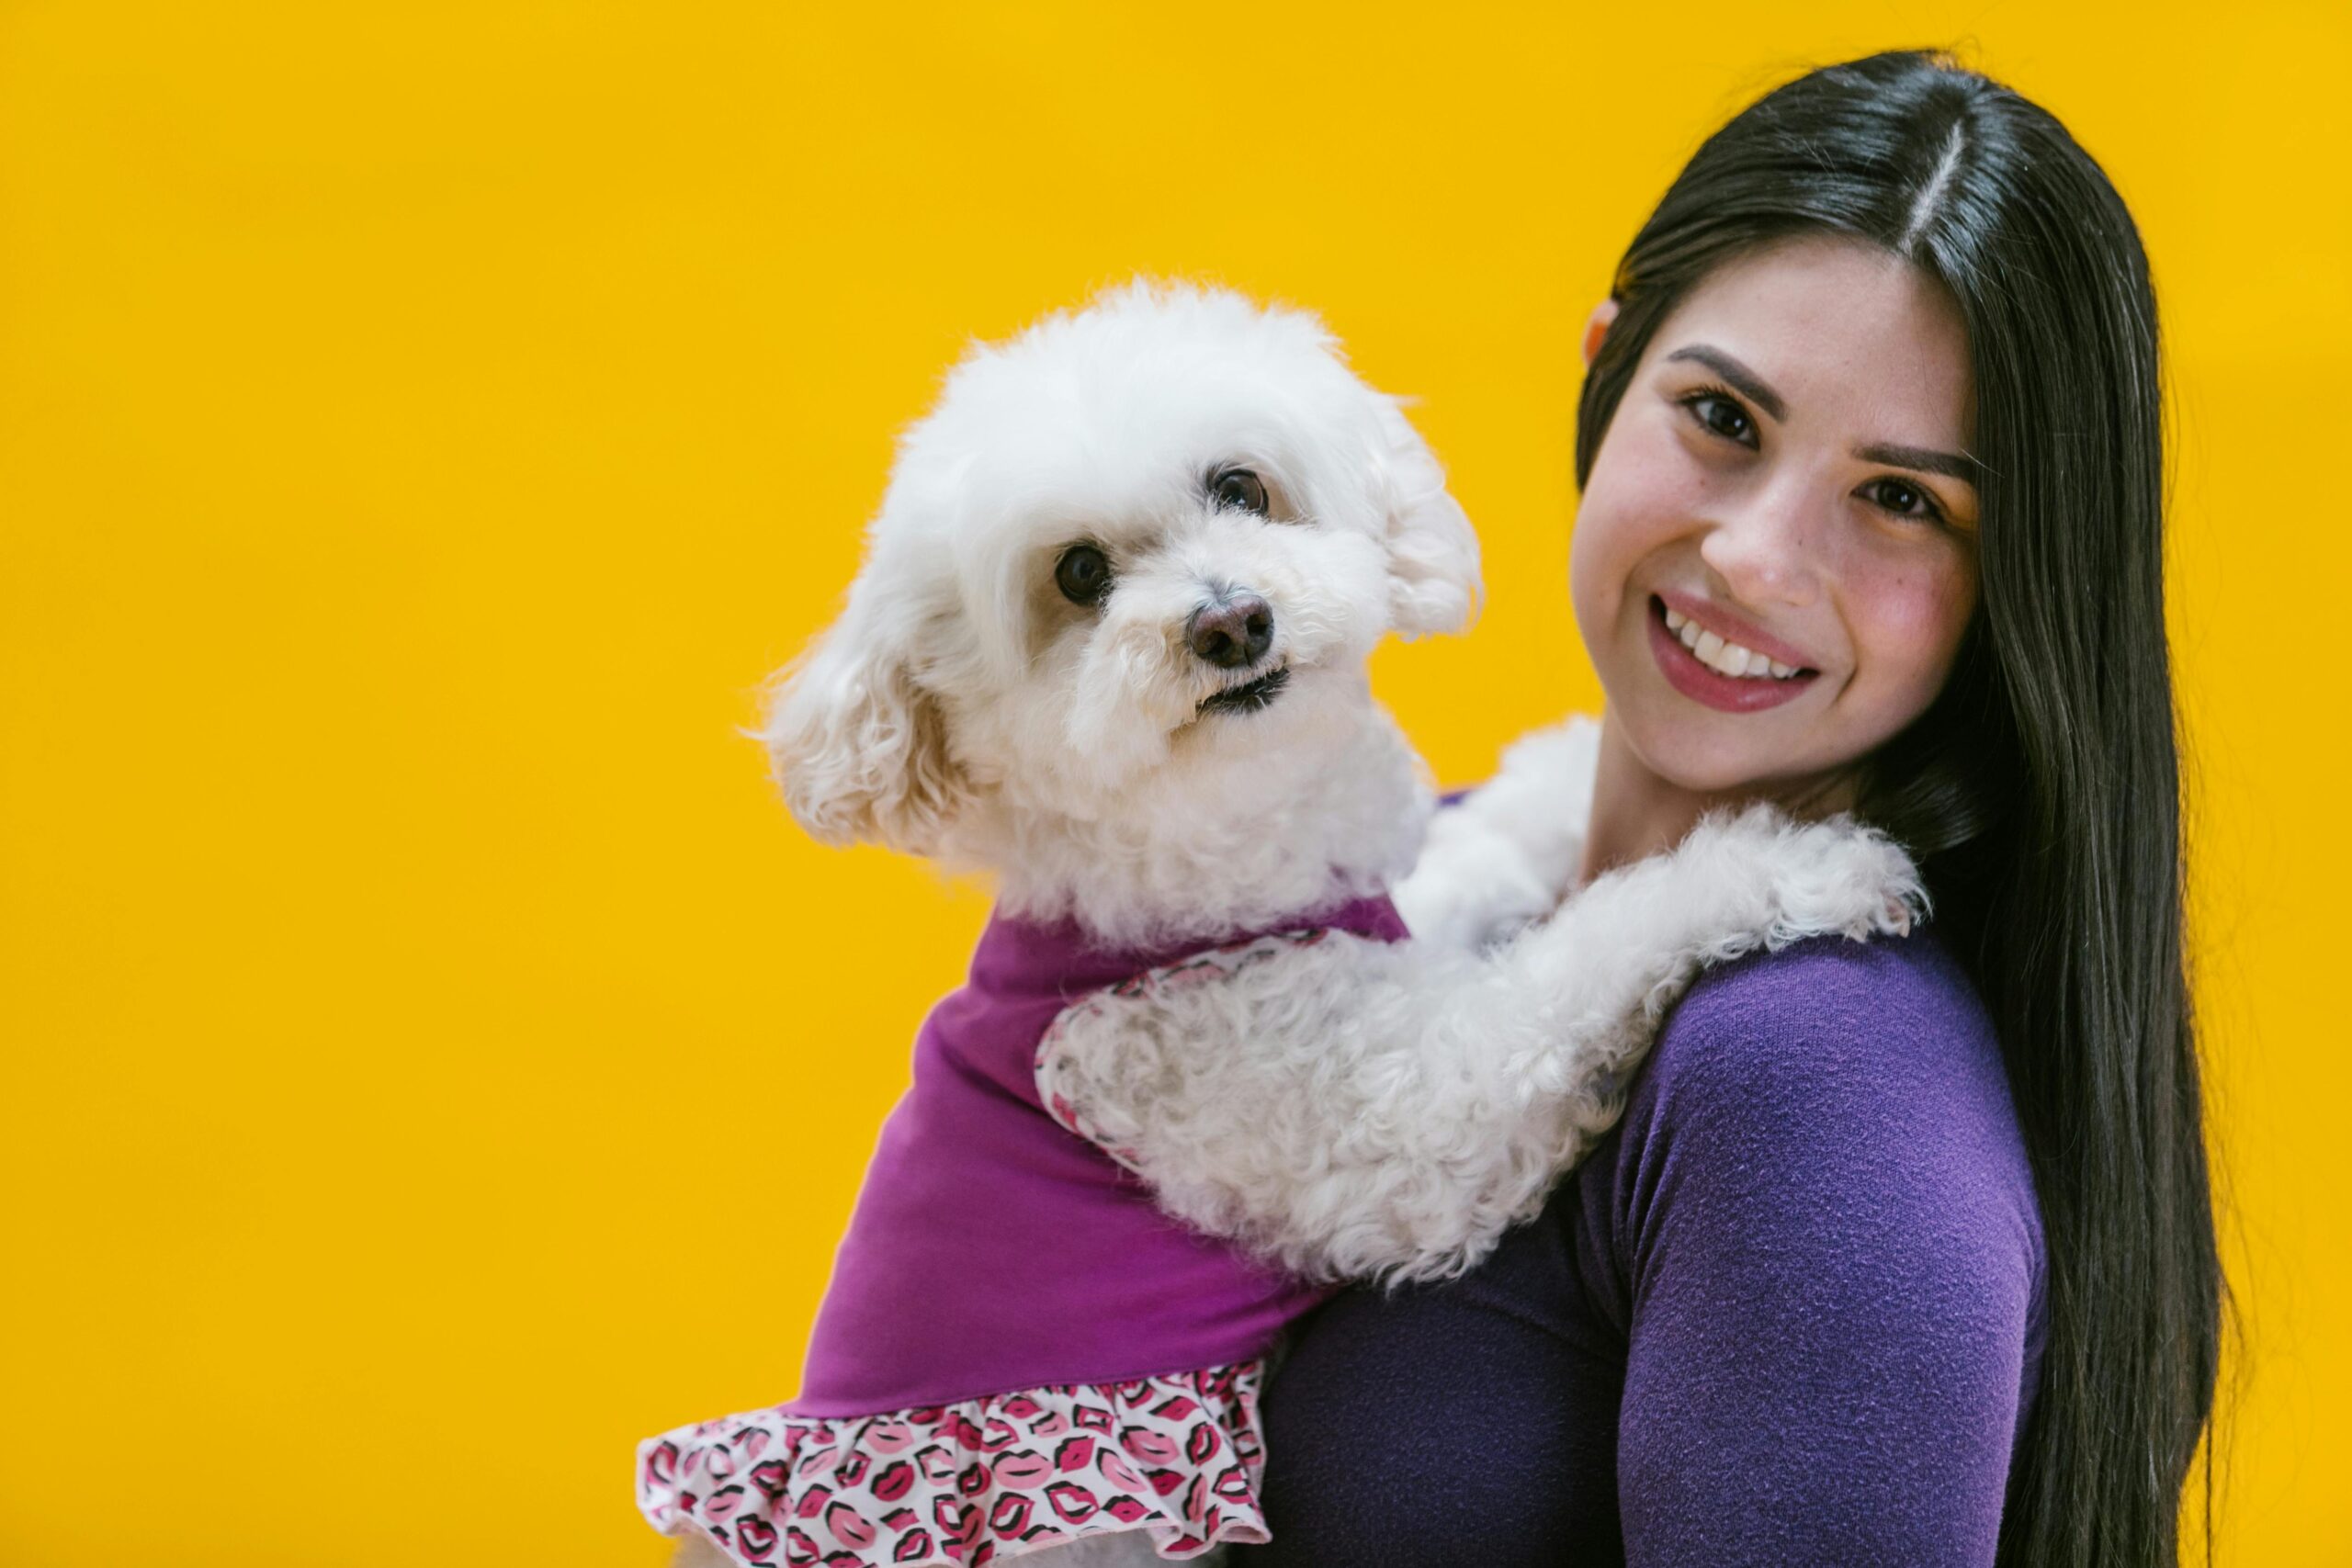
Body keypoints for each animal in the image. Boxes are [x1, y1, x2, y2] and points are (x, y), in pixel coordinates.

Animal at [635, 282, 1918, 1568]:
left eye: (1241, 488)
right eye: (1079, 574)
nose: (1229, 622)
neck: (1232, 858)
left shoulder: (1366, 909)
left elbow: (1473, 862)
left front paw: (1555, 781)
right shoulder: (1364, 1103)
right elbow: (1585, 953)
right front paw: (1801, 860)